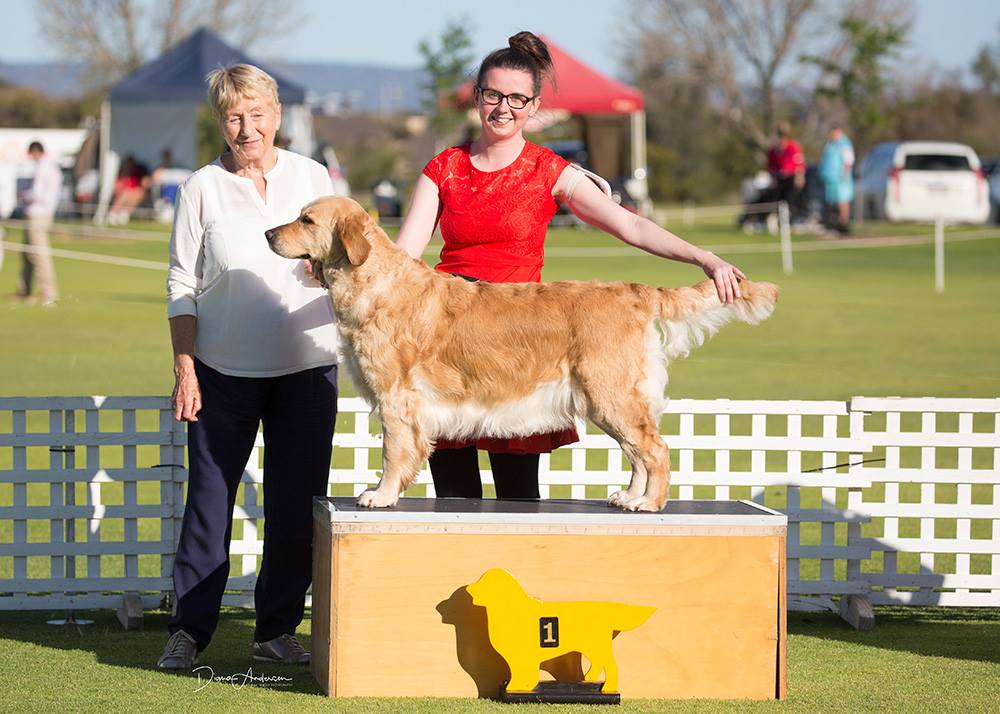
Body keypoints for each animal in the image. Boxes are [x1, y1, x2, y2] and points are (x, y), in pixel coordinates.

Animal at [264, 195, 772, 512]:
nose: (268, 233)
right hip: (608, 399)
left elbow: (394, 452)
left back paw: (649, 502)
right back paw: (630, 497)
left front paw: (380, 494)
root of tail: (636, 290)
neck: (373, 281)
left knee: (656, 449)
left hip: (609, 393)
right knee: (639, 452)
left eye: (307, 220)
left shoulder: (396, 397)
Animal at [466, 568, 656, 688]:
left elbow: (525, 673)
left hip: (598, 646)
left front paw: (520, 686)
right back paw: (588, 679)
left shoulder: (526, 656)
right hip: (591, 647)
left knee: (611, 666)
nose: (468, 588)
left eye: (484, 581)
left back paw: (608, 687)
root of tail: (606, 608)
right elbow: (517, 671)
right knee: (597, 663)